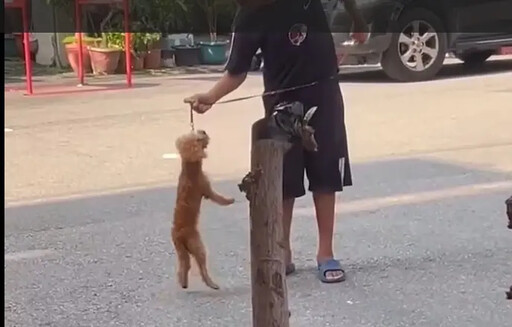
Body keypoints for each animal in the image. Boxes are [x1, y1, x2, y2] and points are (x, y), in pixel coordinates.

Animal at [173, 131, 235, 290]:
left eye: (194, 133)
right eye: (198, 139)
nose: (204, 131)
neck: (189, 168)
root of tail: (179, 234)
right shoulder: (208, 191)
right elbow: (219, 198)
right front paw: (230, 200)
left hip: (181, 250)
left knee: (184, 266)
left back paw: (183, 282)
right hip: (198, 246)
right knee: (201, 268)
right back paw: (212, 284)